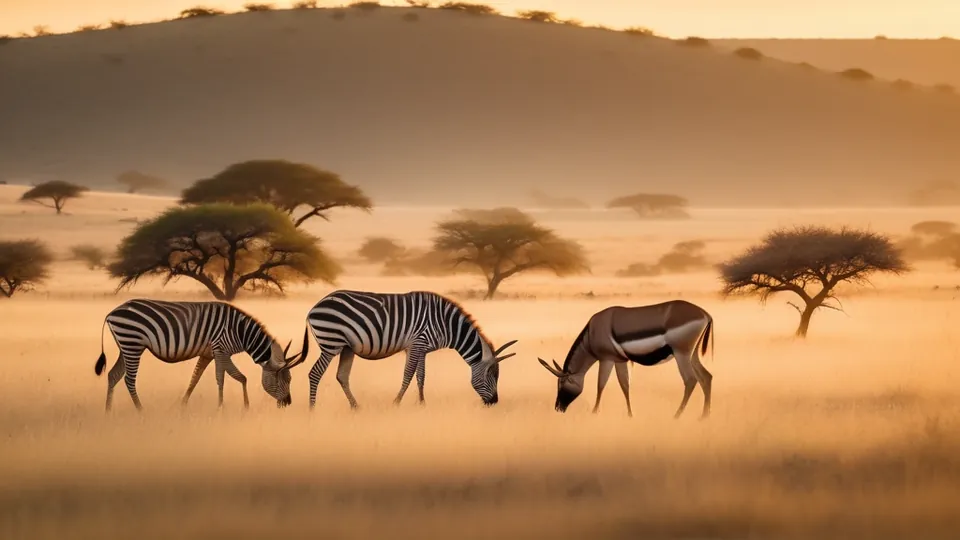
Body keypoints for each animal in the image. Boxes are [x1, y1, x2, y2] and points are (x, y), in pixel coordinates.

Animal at [94, 298, 307, 411]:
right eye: (286, 380)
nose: (288, 403)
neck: (240, 332)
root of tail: (112, 312)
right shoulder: (220, 350)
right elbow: (229, 377)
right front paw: (227, 407)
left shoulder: (208, 353)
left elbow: (195, 377)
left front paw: (182, 405)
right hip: (132, 343)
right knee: (129, 379)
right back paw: (141, 411)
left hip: (127, 346)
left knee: (113, 375)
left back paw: (108, 412)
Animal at [283, 290, 518, 409]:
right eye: (492, 376)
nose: (494, 403)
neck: (447, 324)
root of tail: (314, 307)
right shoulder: (418, 342)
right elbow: (408, 375)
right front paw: (396, 403)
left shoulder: (421, 347)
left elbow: (421, 376)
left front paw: (421, 404)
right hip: (331, 343)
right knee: (315, 373)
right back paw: (313, 410)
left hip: (346, 347)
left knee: (341, 376)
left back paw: (356, 407)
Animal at [538, 300, 714, 418]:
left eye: (561, 383)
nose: (558, 408)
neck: (591, 334)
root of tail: (706, 314)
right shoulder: (620, 360)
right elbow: (625, 385)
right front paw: (630, 414)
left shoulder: (606, 360)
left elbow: (600, 385)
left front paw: (595, 412)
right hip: (693, 355)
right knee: (706, 377)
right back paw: (704, 416)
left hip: (681, 354)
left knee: (690, 380)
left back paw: (677, 415)